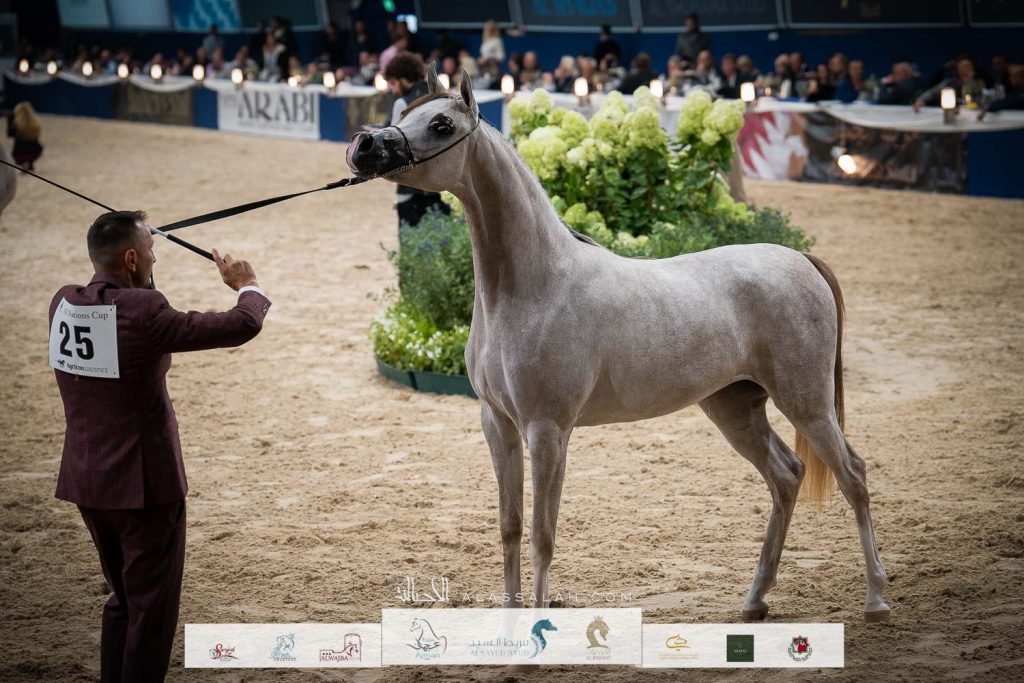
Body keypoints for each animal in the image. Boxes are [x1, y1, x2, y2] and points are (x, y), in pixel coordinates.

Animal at [347, 66, 890, 623]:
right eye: (404, 112)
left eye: (441, 124)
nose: (364, 145)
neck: (535, 286)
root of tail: (801, 259)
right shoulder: (497, 424)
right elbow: (510, 529)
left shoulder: (547, 430)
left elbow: (543, 536)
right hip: (735, 408)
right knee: (787, 476)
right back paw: (755, 599)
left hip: (807, 402)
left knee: (853, 475)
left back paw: (876, 599)